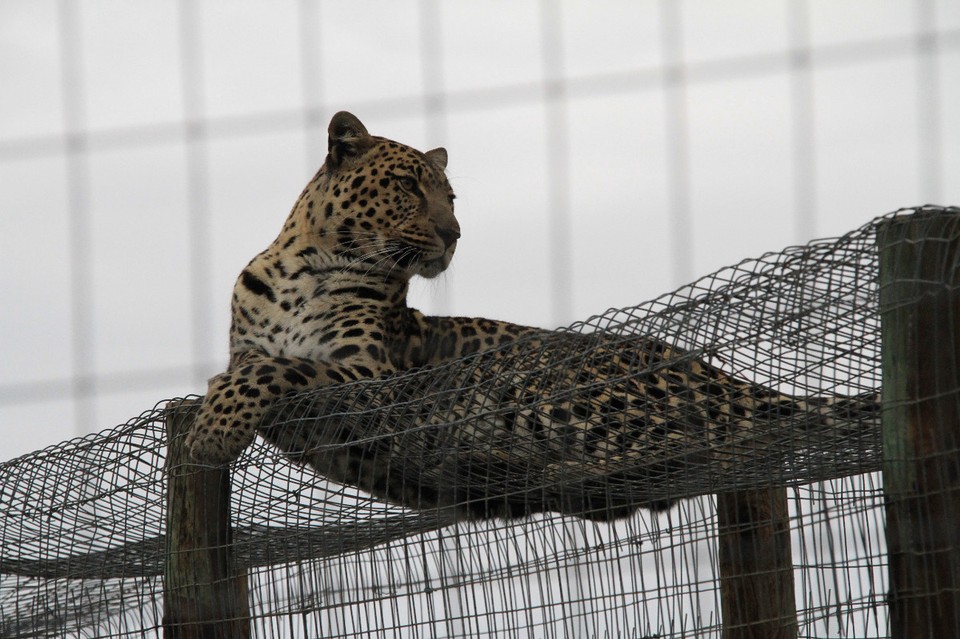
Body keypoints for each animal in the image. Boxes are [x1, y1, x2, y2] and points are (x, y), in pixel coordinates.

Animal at [186, 111, 876, 520]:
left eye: (451, 196)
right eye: (410, 187)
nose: (454, 234)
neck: (307, 267)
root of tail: (717, 373)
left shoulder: (370, 378)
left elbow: (274, 371)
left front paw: (210, 432)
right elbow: (246, 367)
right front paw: (212, 415)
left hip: (545, 386)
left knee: (713, 445)